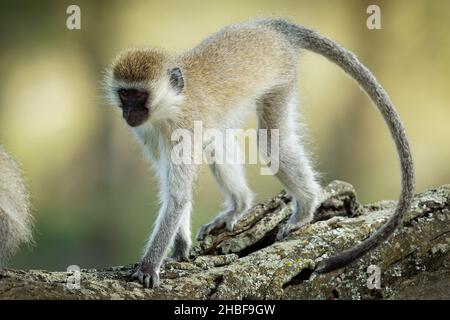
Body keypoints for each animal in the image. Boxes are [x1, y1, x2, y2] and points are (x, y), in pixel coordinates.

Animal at [105, 17, 414, 288]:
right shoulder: (148, 133)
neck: (171, 106)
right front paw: (180, 247)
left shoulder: (184, 127)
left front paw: (149, 266)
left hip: (282, 75)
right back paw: (239, 205)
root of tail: (268, 25)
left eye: (139, 96)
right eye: (124, 95)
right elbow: (173, 189)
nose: (129, 113)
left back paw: (306, 208)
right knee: (217, 140)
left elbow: (178, 197)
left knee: (270, 142)